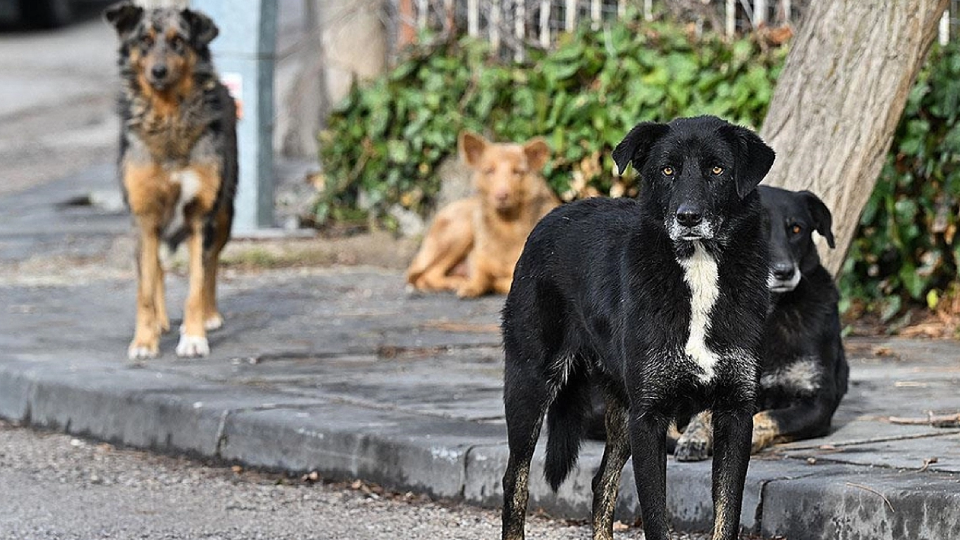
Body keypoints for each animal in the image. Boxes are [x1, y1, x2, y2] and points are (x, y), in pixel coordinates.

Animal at [106, 3, 237, 362]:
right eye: (145, 41)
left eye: (179, 42)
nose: (158, 71)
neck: (168, 117)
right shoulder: (143, 215)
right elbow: (145, 288)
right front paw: (144, 340)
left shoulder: (201, 215)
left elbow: (197, 283)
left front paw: (193, 337)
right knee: (158, 269)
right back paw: (161, 323)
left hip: (225, 214)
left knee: (211, 263)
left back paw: (209, 315)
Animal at [406, 132, 560, 298]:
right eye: (489, 171)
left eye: (517, 172)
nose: (501, 195)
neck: (507, 226)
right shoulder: (479, 259)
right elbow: (481, 275)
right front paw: (473, 285)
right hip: (461, 230)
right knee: (426, 274)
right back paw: (455, 282)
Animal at [498, 115, 776, 540]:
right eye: (667, 170)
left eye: (717, 170)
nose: (688, 217)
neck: (698, 267)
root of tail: (554, 216)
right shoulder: (649, 418)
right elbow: (656, 517)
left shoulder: (735, 413)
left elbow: (726, 516)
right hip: (530, 383)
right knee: (516, 482)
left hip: (619, 405)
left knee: (601, 484)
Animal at [672, 186, 852, 460]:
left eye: (797, 229)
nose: (784, 272)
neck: (769, 312)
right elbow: (703, 413)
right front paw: (694, 437)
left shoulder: (818, 401)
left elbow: (767, 417)